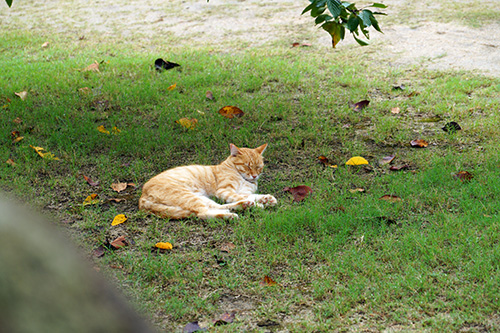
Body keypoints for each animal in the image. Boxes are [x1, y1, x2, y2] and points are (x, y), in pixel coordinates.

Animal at [139, 143, 278, 219]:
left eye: (259, 167)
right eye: (247, 166)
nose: (254, 176)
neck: (244, 178)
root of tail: (142, 197)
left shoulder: (245, 192)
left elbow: (252, 196)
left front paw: (266, 199)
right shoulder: (224, 190)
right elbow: (240, 196)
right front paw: (260, 202)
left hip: (200, 197)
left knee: (216, 207)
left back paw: (244, 206)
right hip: (187, 196)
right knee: (202, 212)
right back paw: (231, 214)